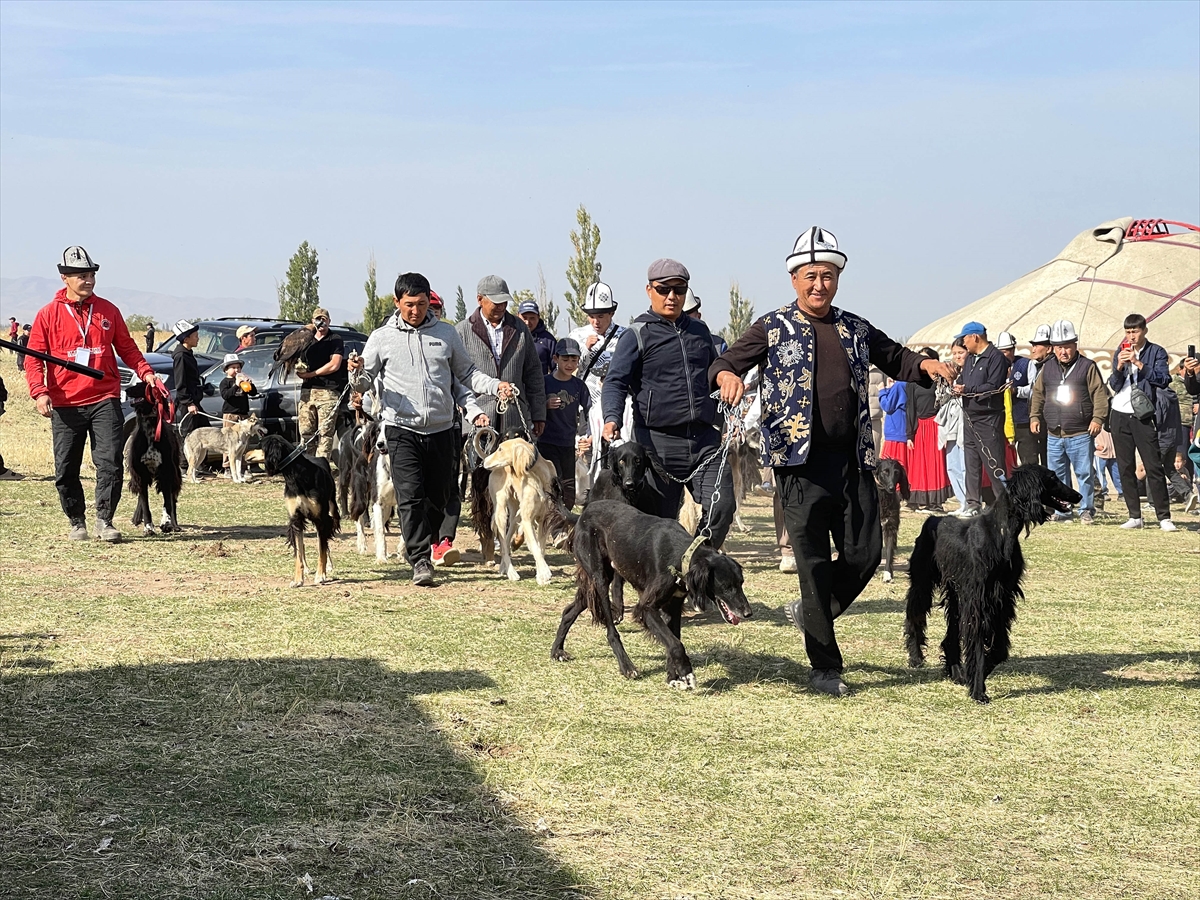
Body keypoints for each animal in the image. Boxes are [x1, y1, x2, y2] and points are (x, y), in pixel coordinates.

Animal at [123, 381, 182, 535]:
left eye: (141, 385)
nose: (127, 389)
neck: (150, 428)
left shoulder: (166, 471)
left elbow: (168, 502)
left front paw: (166, 523)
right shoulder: (140, 473)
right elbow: (145, 503)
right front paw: (148, 526)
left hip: (175, 471)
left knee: (173, 497)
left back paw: (175, 524)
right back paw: (137, 518)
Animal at [260, 434, 340, 588]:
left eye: (259, 445)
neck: (295, 476)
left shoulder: (321, 519)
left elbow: (322, 549)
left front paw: (320, 575)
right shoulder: (295, 519)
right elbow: (298, 552)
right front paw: (298, 579)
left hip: (332, 510)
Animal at [549, 501, 748, 691]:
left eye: (741, 582)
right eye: (726, 587)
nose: (748, 613)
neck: (681, 555)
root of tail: (582, 514)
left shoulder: (673, 606)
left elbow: (673, 639)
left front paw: (673, 677)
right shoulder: (646, 608)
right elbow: (676, 644)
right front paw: (687, 674)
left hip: (600, 577)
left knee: (569, 611)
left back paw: (557, 651)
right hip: (600, 579)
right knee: (611, 631)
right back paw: (627, 667)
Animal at [902, 468, 1084, 710]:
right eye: (1052, 477)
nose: (1078, 496)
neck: (1002, 532)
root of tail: (933, 519)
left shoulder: (1003, 598)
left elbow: (999, 649)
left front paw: (978, 674)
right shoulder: (978, 599)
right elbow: (979, 646)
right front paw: (978, 689)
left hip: (956, 593)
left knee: (951, 635)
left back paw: (957, 672)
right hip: (923, 583)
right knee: (915, 616)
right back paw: (915, 657)